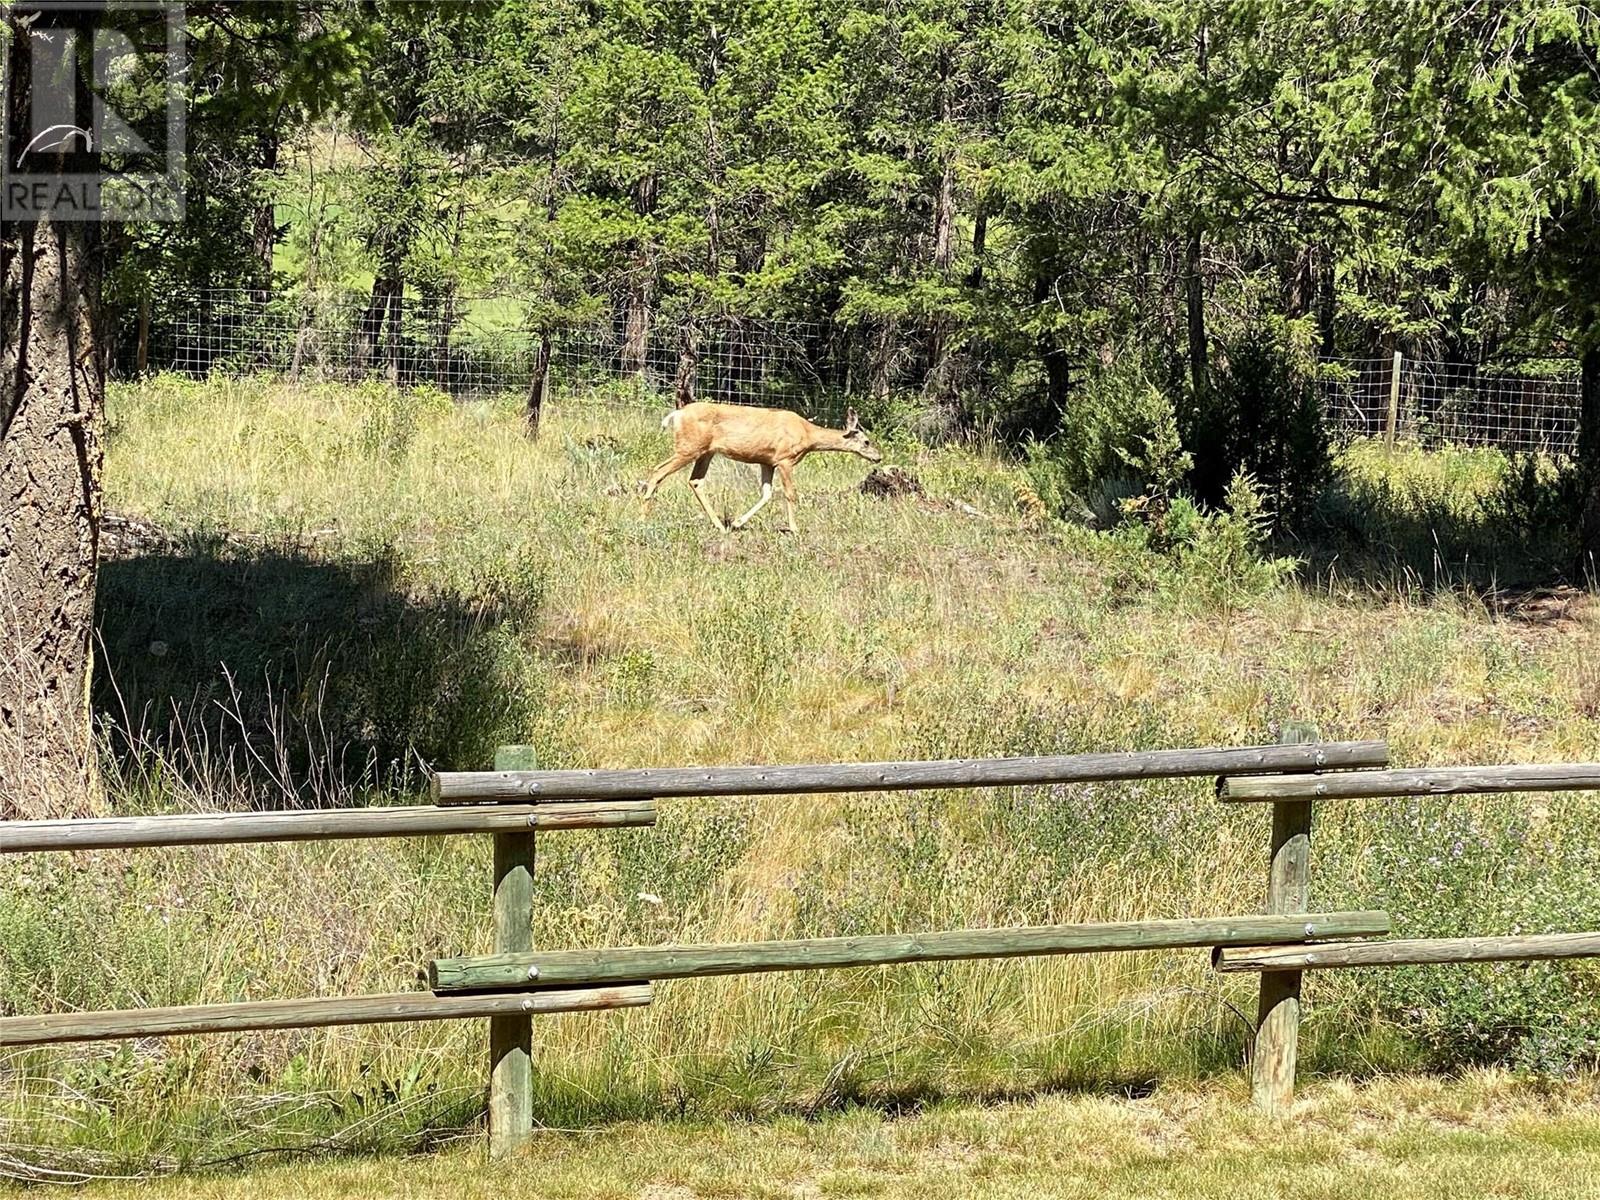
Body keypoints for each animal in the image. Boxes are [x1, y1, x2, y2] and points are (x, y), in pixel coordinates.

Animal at [640, 401, 889, 534]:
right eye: (867, 441)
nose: (879, 457)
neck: (807, 436)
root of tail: (676, 414)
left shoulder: (766, 461)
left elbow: (767, 494)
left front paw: (738, 522)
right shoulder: (785, 459)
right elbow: (790, 493)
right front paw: (794, 529)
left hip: (705, 452)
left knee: (694, 481)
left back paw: (721, 526)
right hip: (689, 447)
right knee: (657, 472)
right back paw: (643, 518)